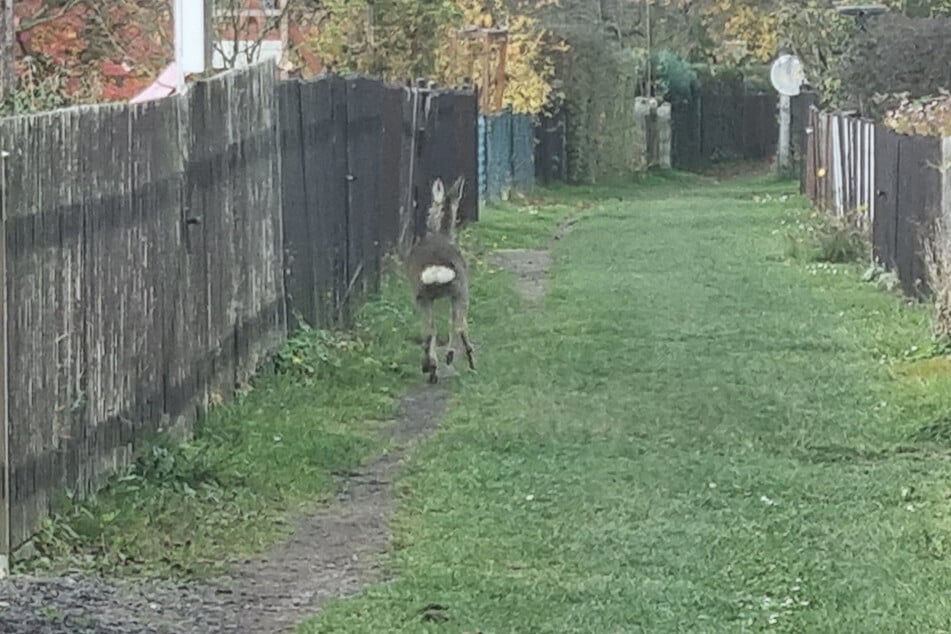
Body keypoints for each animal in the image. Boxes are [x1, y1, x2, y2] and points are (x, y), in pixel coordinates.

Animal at [406, 175, 476, 382]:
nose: (428, 217)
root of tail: (437, 269)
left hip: (422, 294)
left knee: (430, 330)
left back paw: (431, 367)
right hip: (459, 289)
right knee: (456, 324)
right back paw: (456, 359)